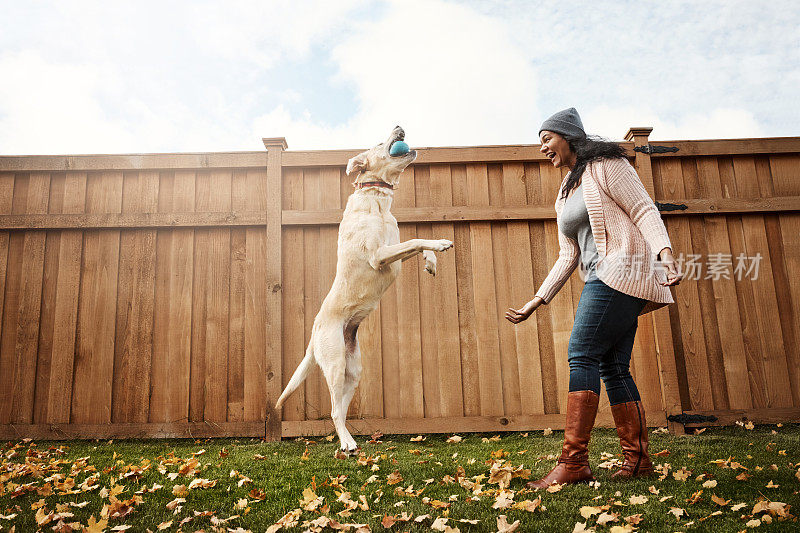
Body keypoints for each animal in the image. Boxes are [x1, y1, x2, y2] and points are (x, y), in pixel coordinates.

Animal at [276, 125, 454, 454]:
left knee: (342, 409)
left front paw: (431, 261)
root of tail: (314, 333)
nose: (398, 126)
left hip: (353, 370)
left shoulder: (392, 251)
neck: (377, 200)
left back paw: (348, 437)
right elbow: (416, 239)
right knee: (334, 409)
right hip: (334, 364)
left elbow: (415, 242)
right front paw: (440, 244)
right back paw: (346, 443)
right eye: (378, 142)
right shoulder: (379, 255)